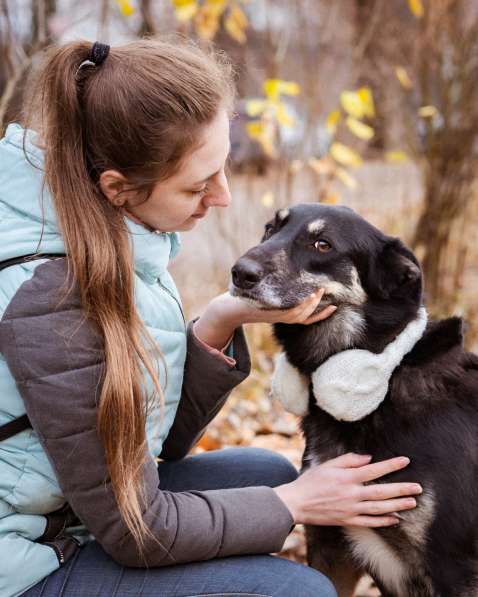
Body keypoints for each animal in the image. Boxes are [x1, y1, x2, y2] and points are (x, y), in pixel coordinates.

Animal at [230, 204, 478, 596]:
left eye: (322, 244)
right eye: (271, 228)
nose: (240, 273)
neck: (385, 383)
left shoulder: (454, 567)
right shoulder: (331, 547)